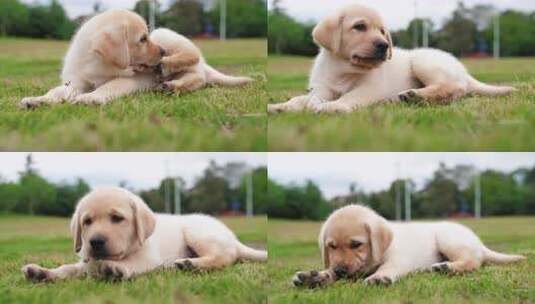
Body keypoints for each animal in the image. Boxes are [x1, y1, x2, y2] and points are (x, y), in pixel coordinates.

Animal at [19, 9, 163, 108]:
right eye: (143, 39)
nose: (163, 51)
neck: (96, 65)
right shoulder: (77, 81)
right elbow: (57, 91)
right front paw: (39, 100)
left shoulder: (135, 79)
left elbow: (111, 85)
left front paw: (90, 98)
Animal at [21, 188, 268, 282]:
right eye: (87, 222)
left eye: (117, 218)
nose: (95, 241)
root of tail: (233, 238)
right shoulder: (86, 262)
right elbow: (69, 268)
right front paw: (41, 272)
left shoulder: (148, 258)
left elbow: (131, 263)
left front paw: (115, 269)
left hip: (198, 232)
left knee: (225, 257)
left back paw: (190, 264)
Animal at [270, 4, 516, 113]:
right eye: (359, 27)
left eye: (382, 31)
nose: (384, 45)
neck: (345, 69)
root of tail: (463, 71)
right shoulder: (322, 89)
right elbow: (303, 99)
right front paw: (283, 105)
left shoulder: (370, 88)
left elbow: (351, 96)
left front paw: (334, 107)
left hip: (424, 61)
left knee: (454, 88)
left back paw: (414, 95)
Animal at [292, 204, 524, 288]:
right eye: (331, 247)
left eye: (356, 244)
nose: (340, 270)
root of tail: (479, 243)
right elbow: (328, 271)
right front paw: (314, 276)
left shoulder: (398, 260)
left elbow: (388, 268)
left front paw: (378, 277)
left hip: (448, 239)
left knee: (473, 261)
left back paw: (446, 267)